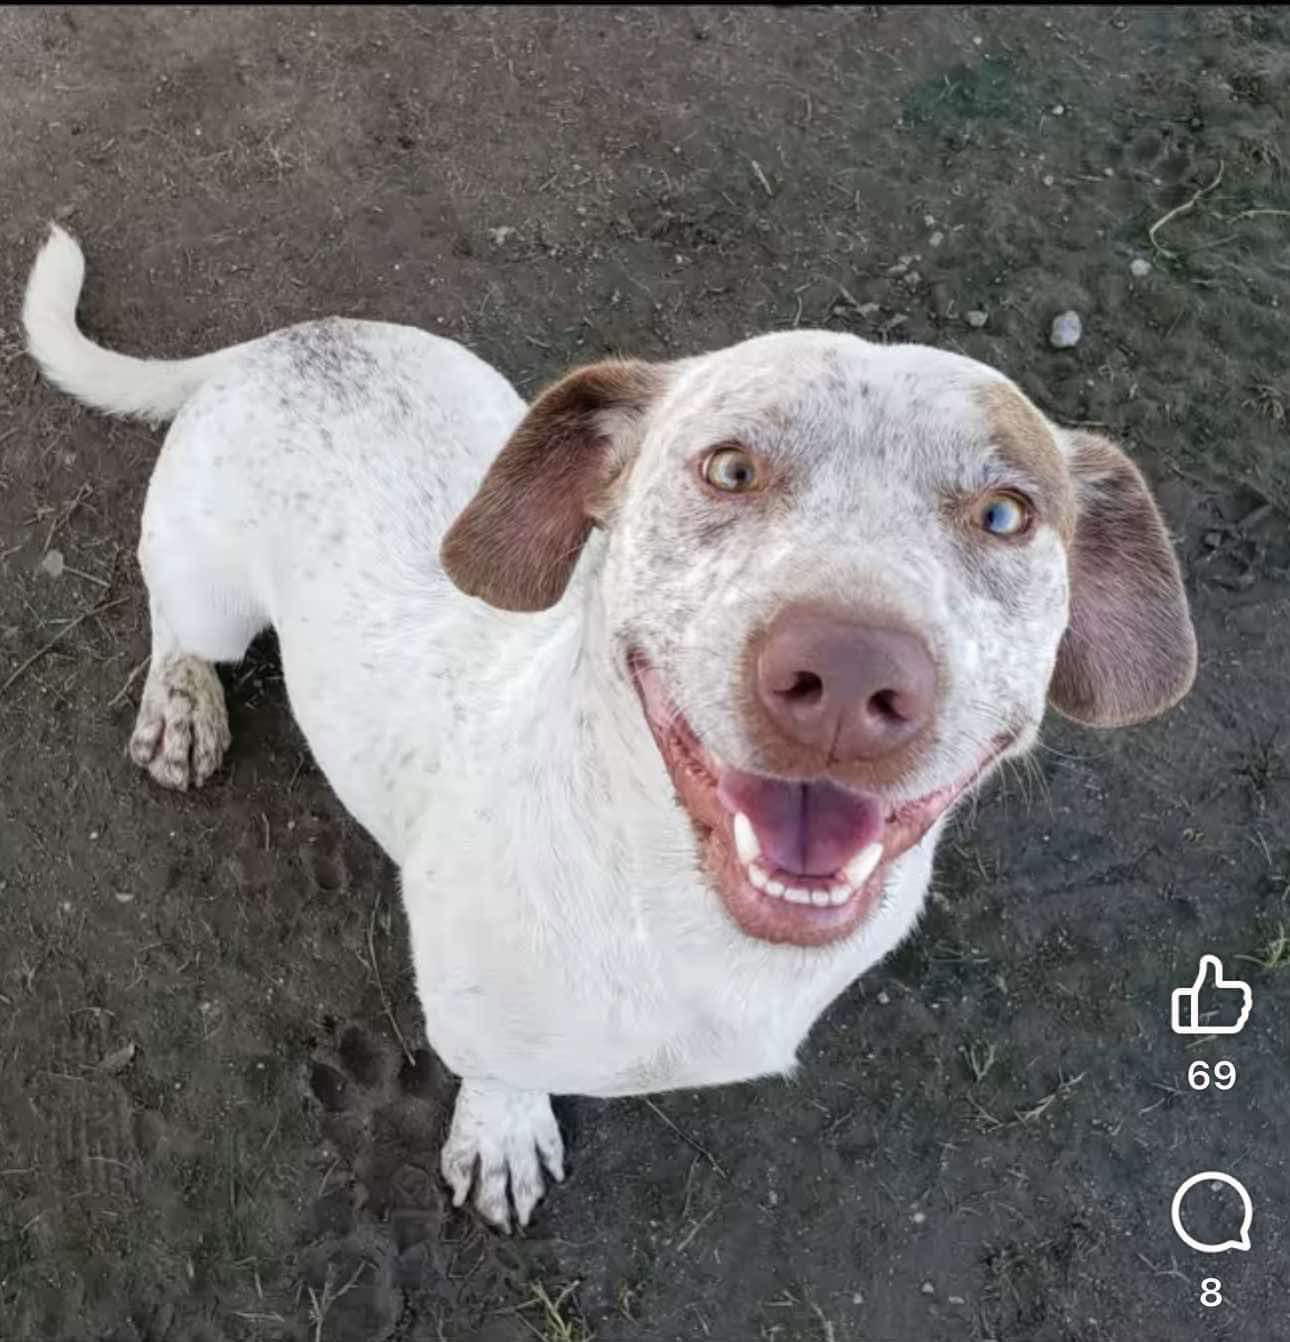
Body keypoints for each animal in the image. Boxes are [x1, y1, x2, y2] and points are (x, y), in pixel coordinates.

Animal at [20, 225, 1192, 1229]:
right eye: (728, 467)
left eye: (1006, 514)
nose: (851, 673)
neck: (687, 912)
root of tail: (277, 344)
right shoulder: (469, 1009)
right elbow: (498, 1071)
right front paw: (501, 1134)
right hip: (210, 589)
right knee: (177, 623)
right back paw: (181, 706)